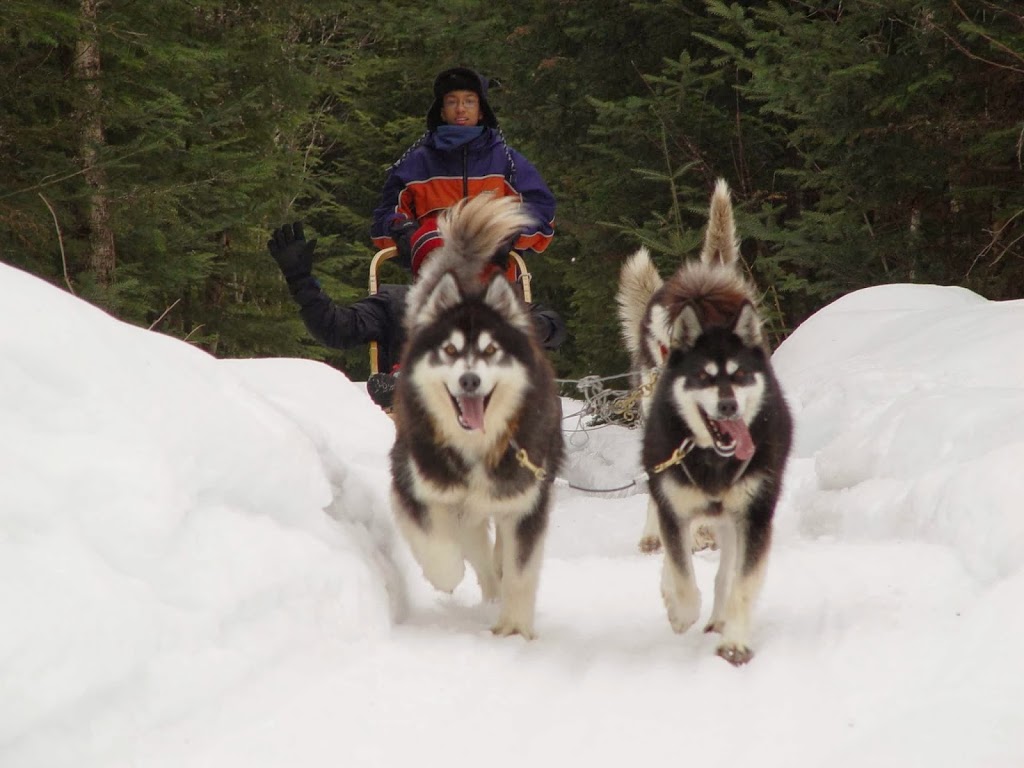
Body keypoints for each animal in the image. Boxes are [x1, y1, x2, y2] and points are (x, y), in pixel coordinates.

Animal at [389, 195, 565, 638]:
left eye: (490, 351)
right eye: (450, 351)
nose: (469, 380)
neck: (476, 445)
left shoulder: (526, 501)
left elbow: (520, 570)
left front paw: (515, 627)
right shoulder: (415, 483)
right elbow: (437, 545)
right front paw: (447, 575)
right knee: (477, 550)